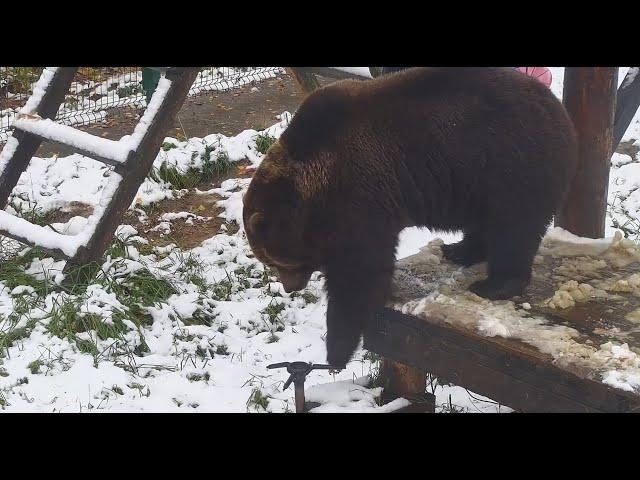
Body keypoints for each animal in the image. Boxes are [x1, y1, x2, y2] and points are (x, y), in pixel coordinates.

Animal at [242, 66, 576, 368]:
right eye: (269, 262)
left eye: (278, 261)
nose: (290, 287)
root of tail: (558, 108)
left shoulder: (359, 197)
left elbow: (359, 274)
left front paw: (337, 350)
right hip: (478, 181)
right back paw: (459, 249)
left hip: (512, 164)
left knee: (512, 229)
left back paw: (494, 283)